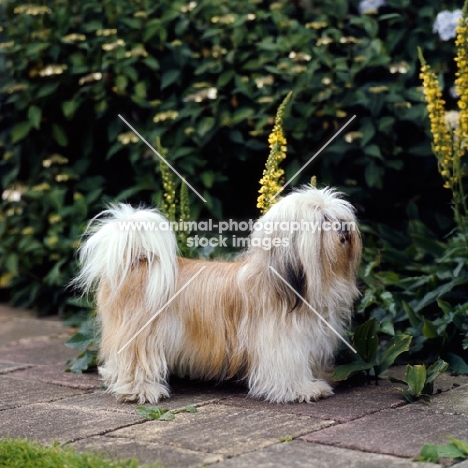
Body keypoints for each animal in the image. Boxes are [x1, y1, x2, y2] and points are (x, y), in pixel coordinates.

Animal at [76, 185, 362, 404]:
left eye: (339, 214)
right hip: (139, 335)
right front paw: (304, 389)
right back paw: (141, 390)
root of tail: (140, 259)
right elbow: (286, 371)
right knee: (135, 361)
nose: (344, 227)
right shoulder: (282, 344)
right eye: (323, 219)